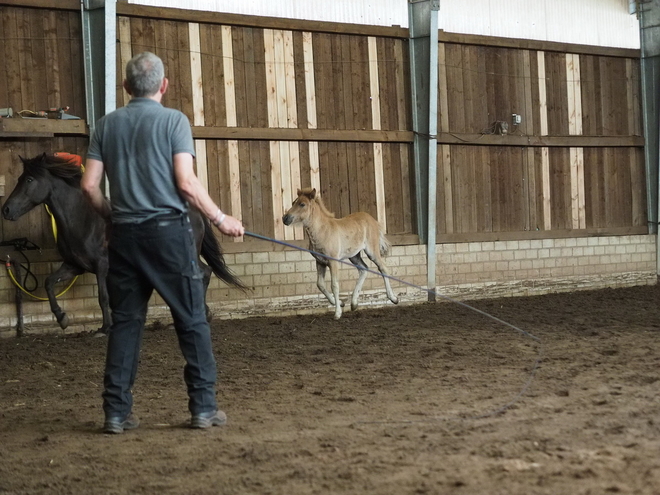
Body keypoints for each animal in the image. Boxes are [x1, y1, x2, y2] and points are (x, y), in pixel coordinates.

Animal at [1, 153, 246, 336]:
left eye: (29, 180)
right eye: (20, 178)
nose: (6, 209)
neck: (84, 219)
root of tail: (193, 212)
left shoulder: (102, 265)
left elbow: (103, 297)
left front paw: (104, 328)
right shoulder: (74, 266)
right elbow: (49, 284)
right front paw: (62, 318)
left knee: (202, 273)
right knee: (204, 273)